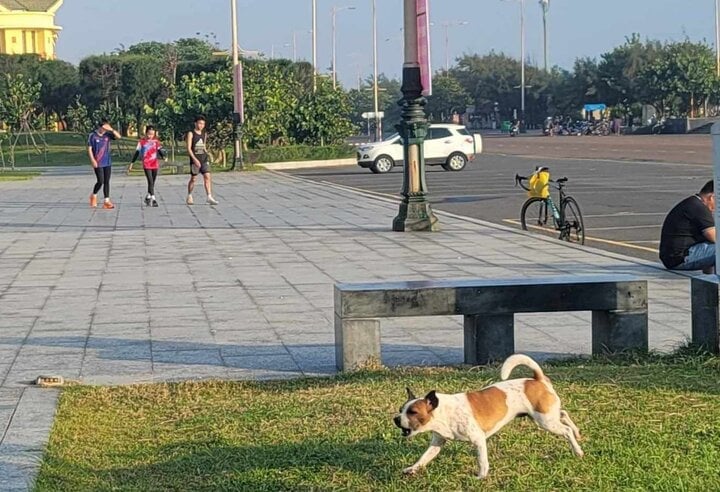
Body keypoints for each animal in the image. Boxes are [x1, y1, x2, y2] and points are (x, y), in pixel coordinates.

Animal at [390, 356, 584, 478]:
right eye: (401, 409)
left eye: (413, 412)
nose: (396, 419)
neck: (443, 412)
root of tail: (537, 379)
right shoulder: (437, 443)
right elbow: (424, 458)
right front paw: (412, 469)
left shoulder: (478, 439)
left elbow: (482, 461)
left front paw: (481, 477)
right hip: (545, 416)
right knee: (563, 414)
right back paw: (577, 432)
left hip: (545, 421)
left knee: (565, 430)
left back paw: (578, 450)